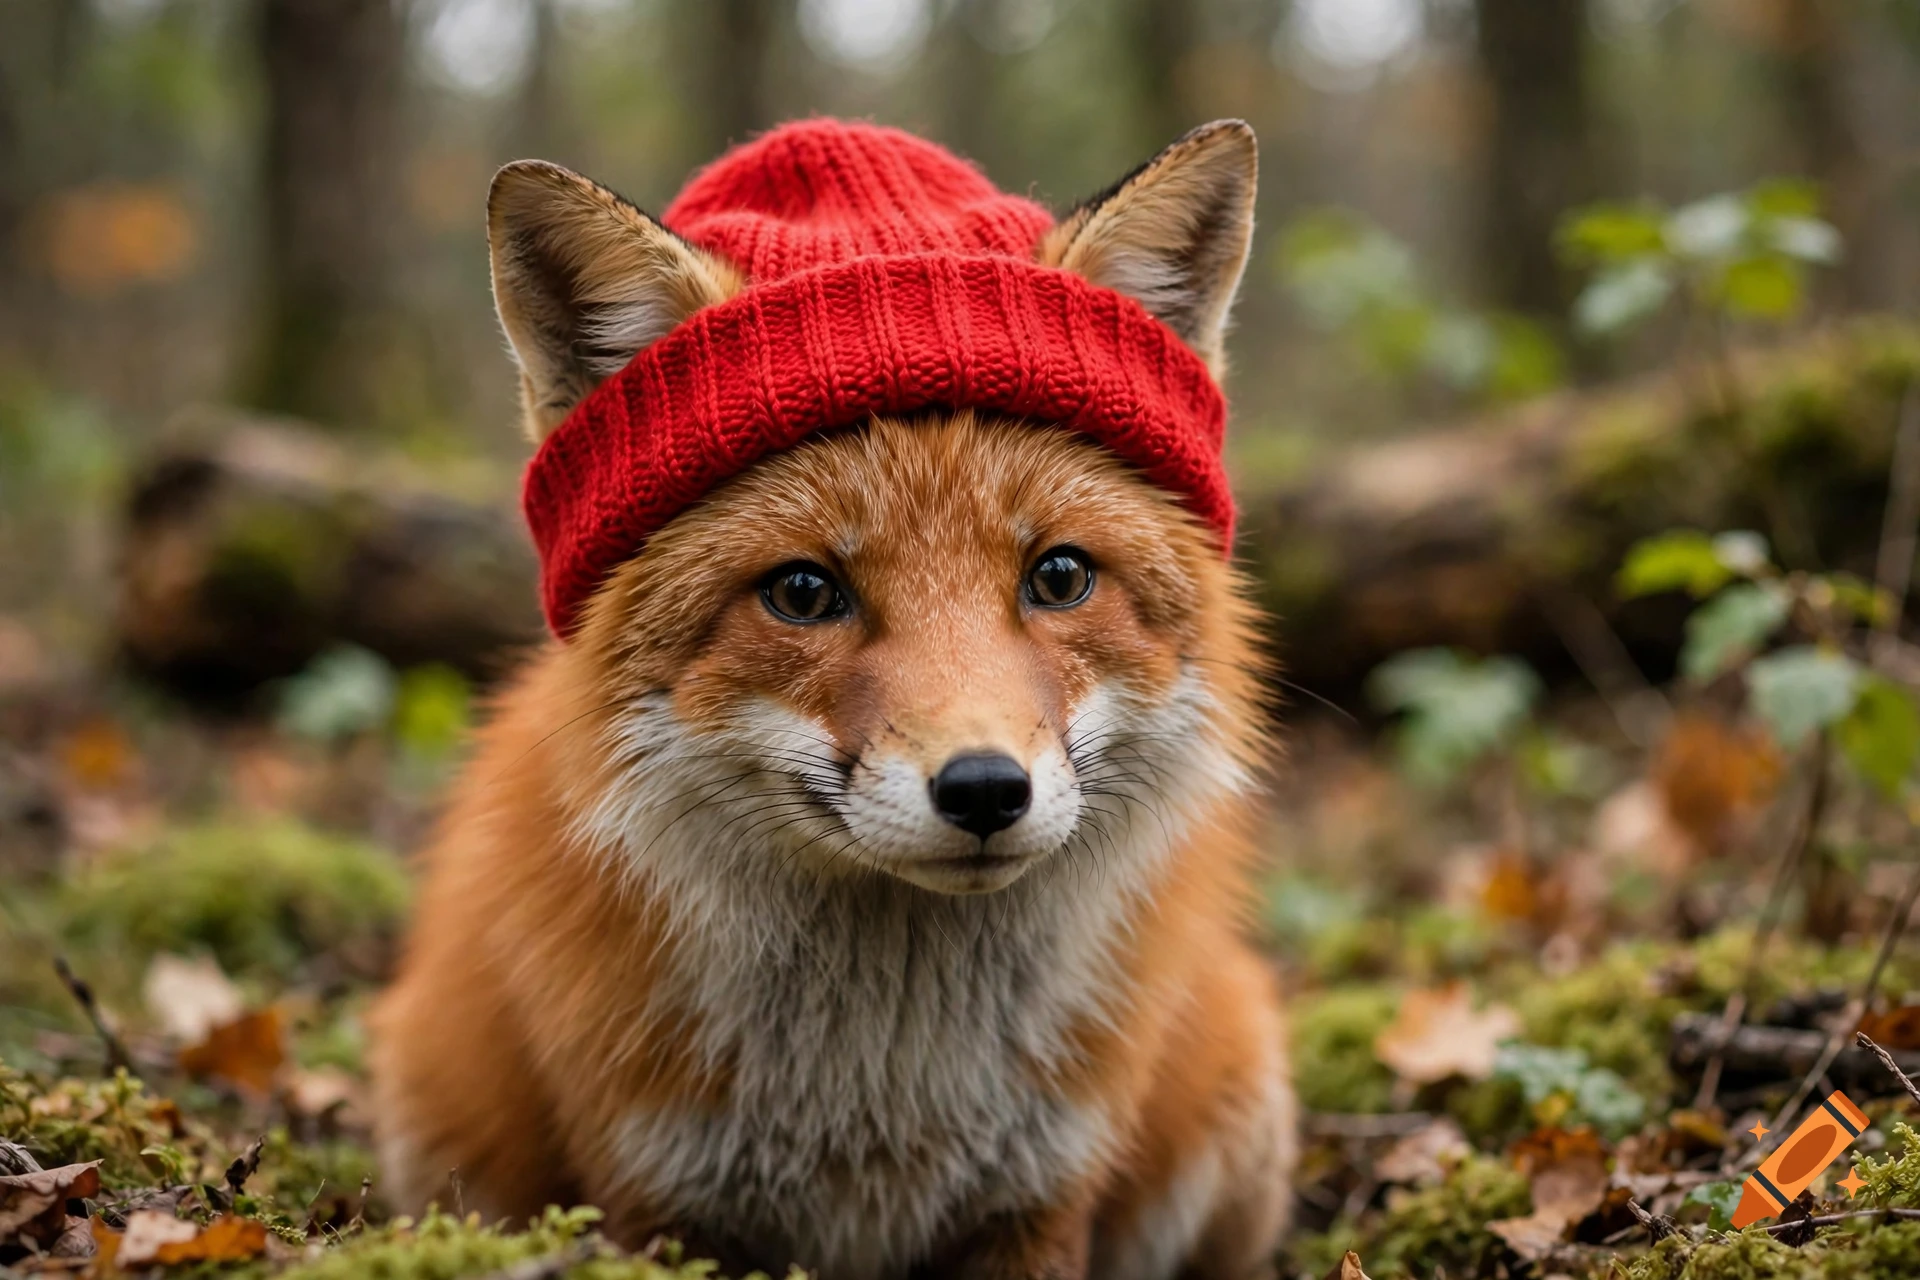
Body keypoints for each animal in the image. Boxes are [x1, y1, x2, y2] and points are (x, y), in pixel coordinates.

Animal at [369, 118, 1295, 1280]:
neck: (877, 1105)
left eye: (1060, 576)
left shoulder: (1041, 1194)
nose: (985, 789)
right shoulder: (659, 1195)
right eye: (805, 592)